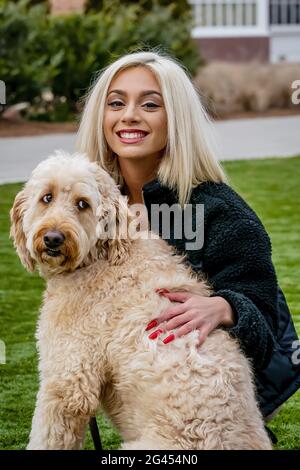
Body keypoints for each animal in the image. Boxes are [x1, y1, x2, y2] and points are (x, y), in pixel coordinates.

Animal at [9, 152, 272, 450]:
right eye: (47, 197)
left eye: (83, 203)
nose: (53, 238)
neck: (102, 255)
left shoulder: (68, 380)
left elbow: (48, 433)